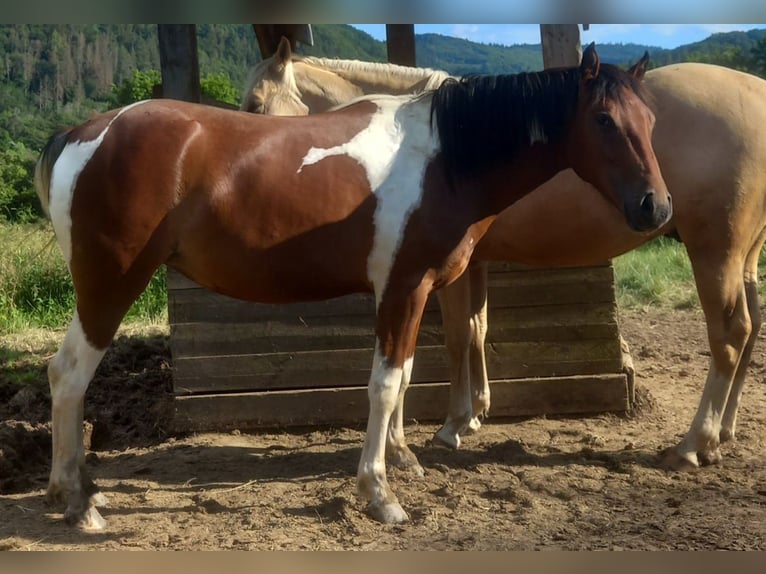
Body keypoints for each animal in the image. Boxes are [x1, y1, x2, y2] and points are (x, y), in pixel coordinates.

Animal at [37, 45, 672, 532]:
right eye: (603, 120)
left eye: (651, 122)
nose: (656, 207)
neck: (442, 156)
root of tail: (84, 133)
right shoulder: (404, 287)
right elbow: (386, 386)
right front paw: (380, 494)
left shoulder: (411, 291)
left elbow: (407, 374)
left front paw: (403, 459)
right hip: (110, 286)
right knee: (68, 376)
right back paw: (78, 504)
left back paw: (75, 490)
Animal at [243, 38, 766, 474]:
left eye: (254, 104)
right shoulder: (473, 264)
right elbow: (478, 329)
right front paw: (473, 415)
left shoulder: (441, 273)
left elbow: (456, 336)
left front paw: (451, 425)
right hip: (744, 257)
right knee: (752, 327)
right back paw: (724, 433)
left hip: (714, 251)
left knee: (729, 334)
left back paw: (693, 444)